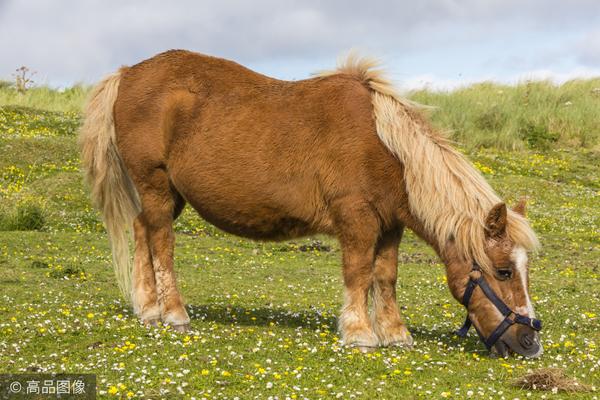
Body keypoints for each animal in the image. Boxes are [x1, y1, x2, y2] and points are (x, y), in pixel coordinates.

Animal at [79, 50, 544, 356]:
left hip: (166, 194)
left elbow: (385, 277)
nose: (530, 342)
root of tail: (127, 73)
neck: (384, 144)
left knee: (143, 233)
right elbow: (358, 273)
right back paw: (173, 313)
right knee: (162, 244)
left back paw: (148, 309)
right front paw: (360, 334)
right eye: (503, 271)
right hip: (156, 185)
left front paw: (395, 333)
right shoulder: (356, 218)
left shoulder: (390, 225)